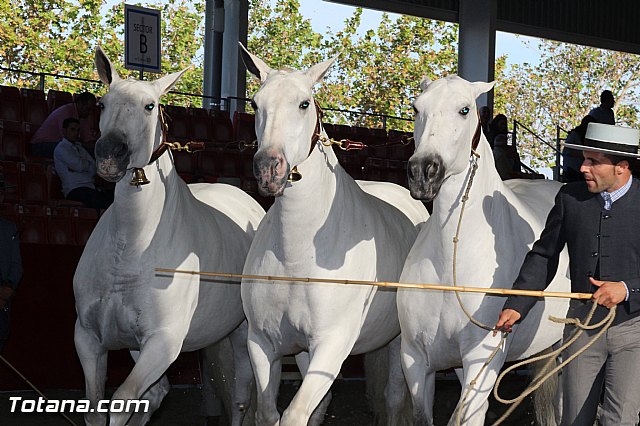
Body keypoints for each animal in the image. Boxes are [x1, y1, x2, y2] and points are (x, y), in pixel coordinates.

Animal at [74, 47, 264, 426]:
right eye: (102, 103)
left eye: (150, 106)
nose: (109, 154)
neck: (132, 249)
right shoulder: (89, 338)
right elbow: (100, 408)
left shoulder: (162, 342)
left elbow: (122, 401)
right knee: (158, 393)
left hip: (242, 335)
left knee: (240, 398)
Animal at [238, 46, 428, 426]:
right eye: (255, 103)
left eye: (303, 104)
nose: (269, 169)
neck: (297, 254)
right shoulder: (263, 343)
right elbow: (269, 412)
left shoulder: (331, 344)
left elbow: (294, 414)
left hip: (399, 342)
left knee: (394, 397)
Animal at [400, 75, 568, 424]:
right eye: (416, 108)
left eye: (465, 109)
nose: (423, 172)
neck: (450, 259)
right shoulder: (415, 359)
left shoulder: (482, 359)